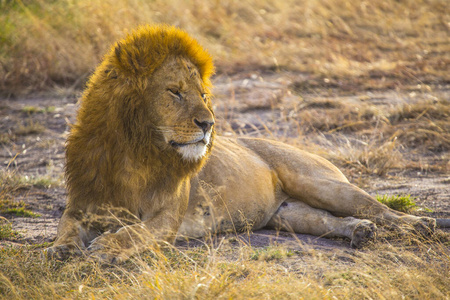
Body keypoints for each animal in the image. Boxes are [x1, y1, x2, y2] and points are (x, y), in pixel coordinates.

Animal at [44, 24, 442, 262]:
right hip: (288, 214)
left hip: (320, 183)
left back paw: (417, 225)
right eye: (175, 92)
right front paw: (60, 251)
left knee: (376, 207)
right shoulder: (81, 205)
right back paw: (359, 231)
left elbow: (133, 232)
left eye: (204, 94)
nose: (209, 123)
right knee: (326, 220)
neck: (134, 152)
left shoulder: (166, 218)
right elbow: (65, 229)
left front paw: (107, 246)